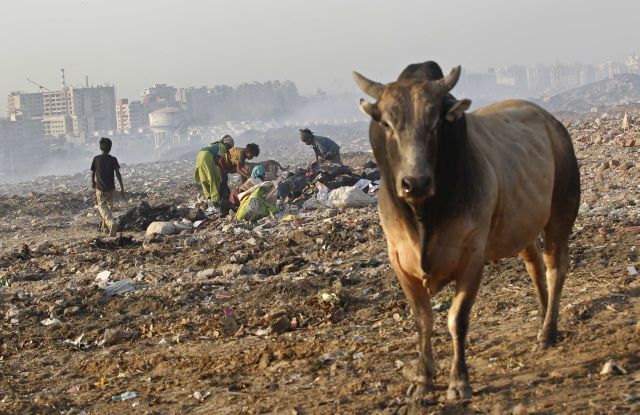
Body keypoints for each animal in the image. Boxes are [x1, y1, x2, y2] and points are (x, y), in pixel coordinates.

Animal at [352, 61, 584, 400]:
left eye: (435, 123)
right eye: (387, 124)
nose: (415, 183)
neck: (424, 216)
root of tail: (551, 121)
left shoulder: (472, 256)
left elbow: (457, 319)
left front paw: (459, 381)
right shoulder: (399, 261)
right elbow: (423, 321)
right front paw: (423, 381)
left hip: (561, 212)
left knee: (556, 267)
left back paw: (547, 332)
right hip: (521, 224)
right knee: (535, 266)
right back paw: (542, 318)